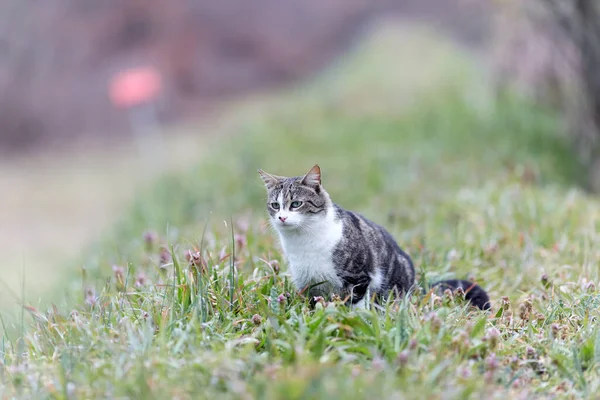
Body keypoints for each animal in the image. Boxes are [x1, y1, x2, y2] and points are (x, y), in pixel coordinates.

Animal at [255, 164, 490, 310]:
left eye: (296, 204)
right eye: (275, 205)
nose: (282, 217)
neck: (304, 240)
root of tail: (415, 286)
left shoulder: (358, 277)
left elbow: (355, 304)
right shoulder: (307, 282)